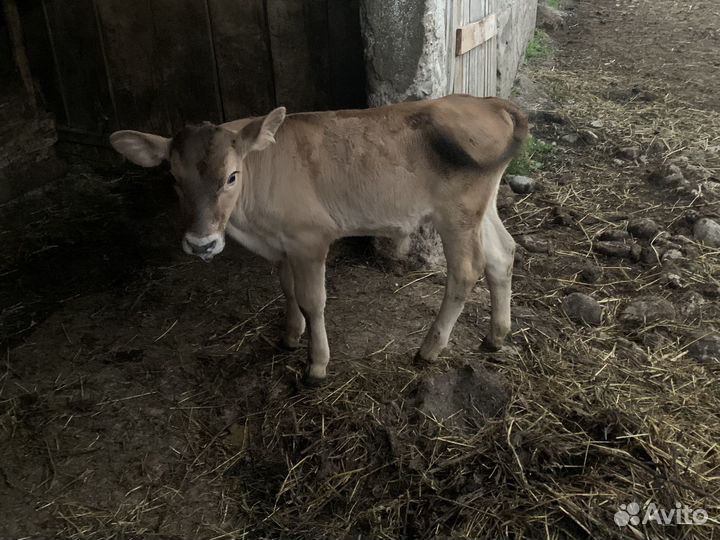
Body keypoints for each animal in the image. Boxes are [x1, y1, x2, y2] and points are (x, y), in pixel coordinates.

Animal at [109, 94, 528, 385]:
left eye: (231, 176)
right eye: (174, 179)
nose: (201, 244)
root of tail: (487, 102)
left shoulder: (310, 239)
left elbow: (312, 301)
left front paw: (316, 364)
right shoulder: (282, 246)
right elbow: (288, 289)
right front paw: (290, 336)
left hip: (457, 215)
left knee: (466, 271)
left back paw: (429, 349)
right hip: (482, 206)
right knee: (502, 253)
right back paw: (495, 336)